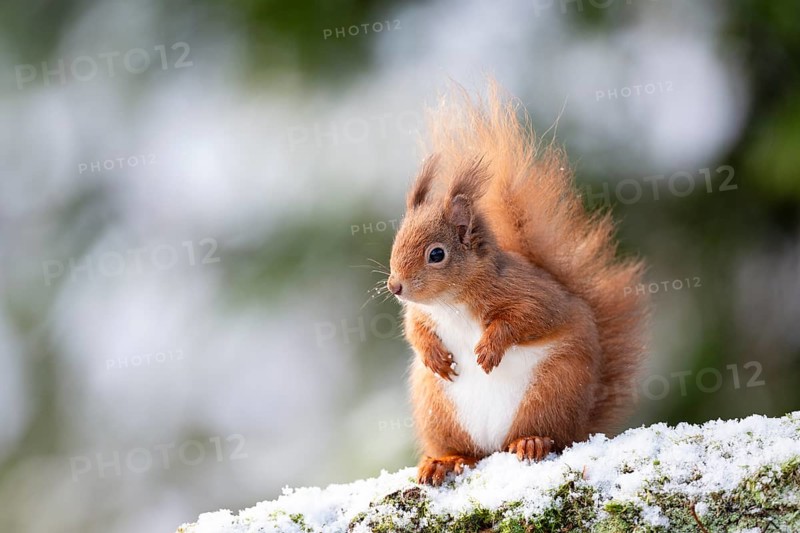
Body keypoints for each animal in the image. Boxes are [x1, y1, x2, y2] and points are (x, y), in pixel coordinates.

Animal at [386, 83, 648, 486]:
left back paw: (531, 442)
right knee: (466, 451)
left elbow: (530, 317)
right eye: (397, 241)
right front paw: (433, 355)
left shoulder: (526, 292)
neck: (452, 301)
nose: (394, 287)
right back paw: (444, 461)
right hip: (439, 409)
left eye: (436, 254)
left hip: (551, 390)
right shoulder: (422, 314)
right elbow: (415, 330)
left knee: (548, 435)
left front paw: (490, 348)